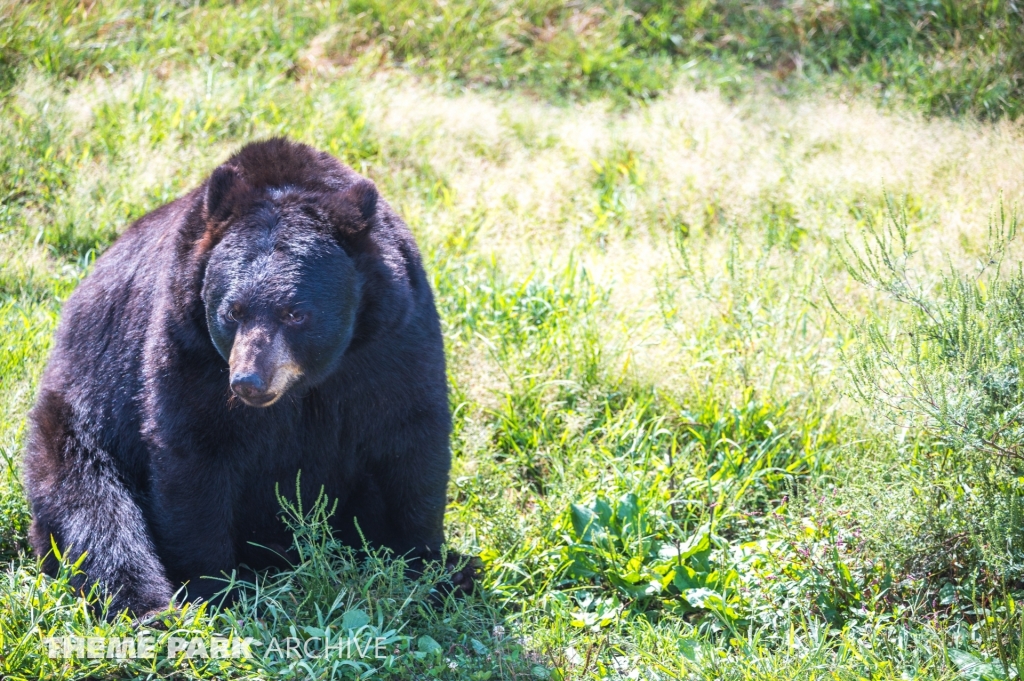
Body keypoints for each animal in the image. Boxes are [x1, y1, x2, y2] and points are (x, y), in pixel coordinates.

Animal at [23, 138, 468, 614]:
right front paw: (211, 588)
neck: (305, 385)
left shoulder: (392, 342)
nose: (248, 382)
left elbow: (409, 437)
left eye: (296, 313)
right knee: (97, 513)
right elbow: (195, 452)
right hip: (79, 420)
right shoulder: (187, 347)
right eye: (232, 310)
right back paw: (147, 604)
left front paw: (430, 568)